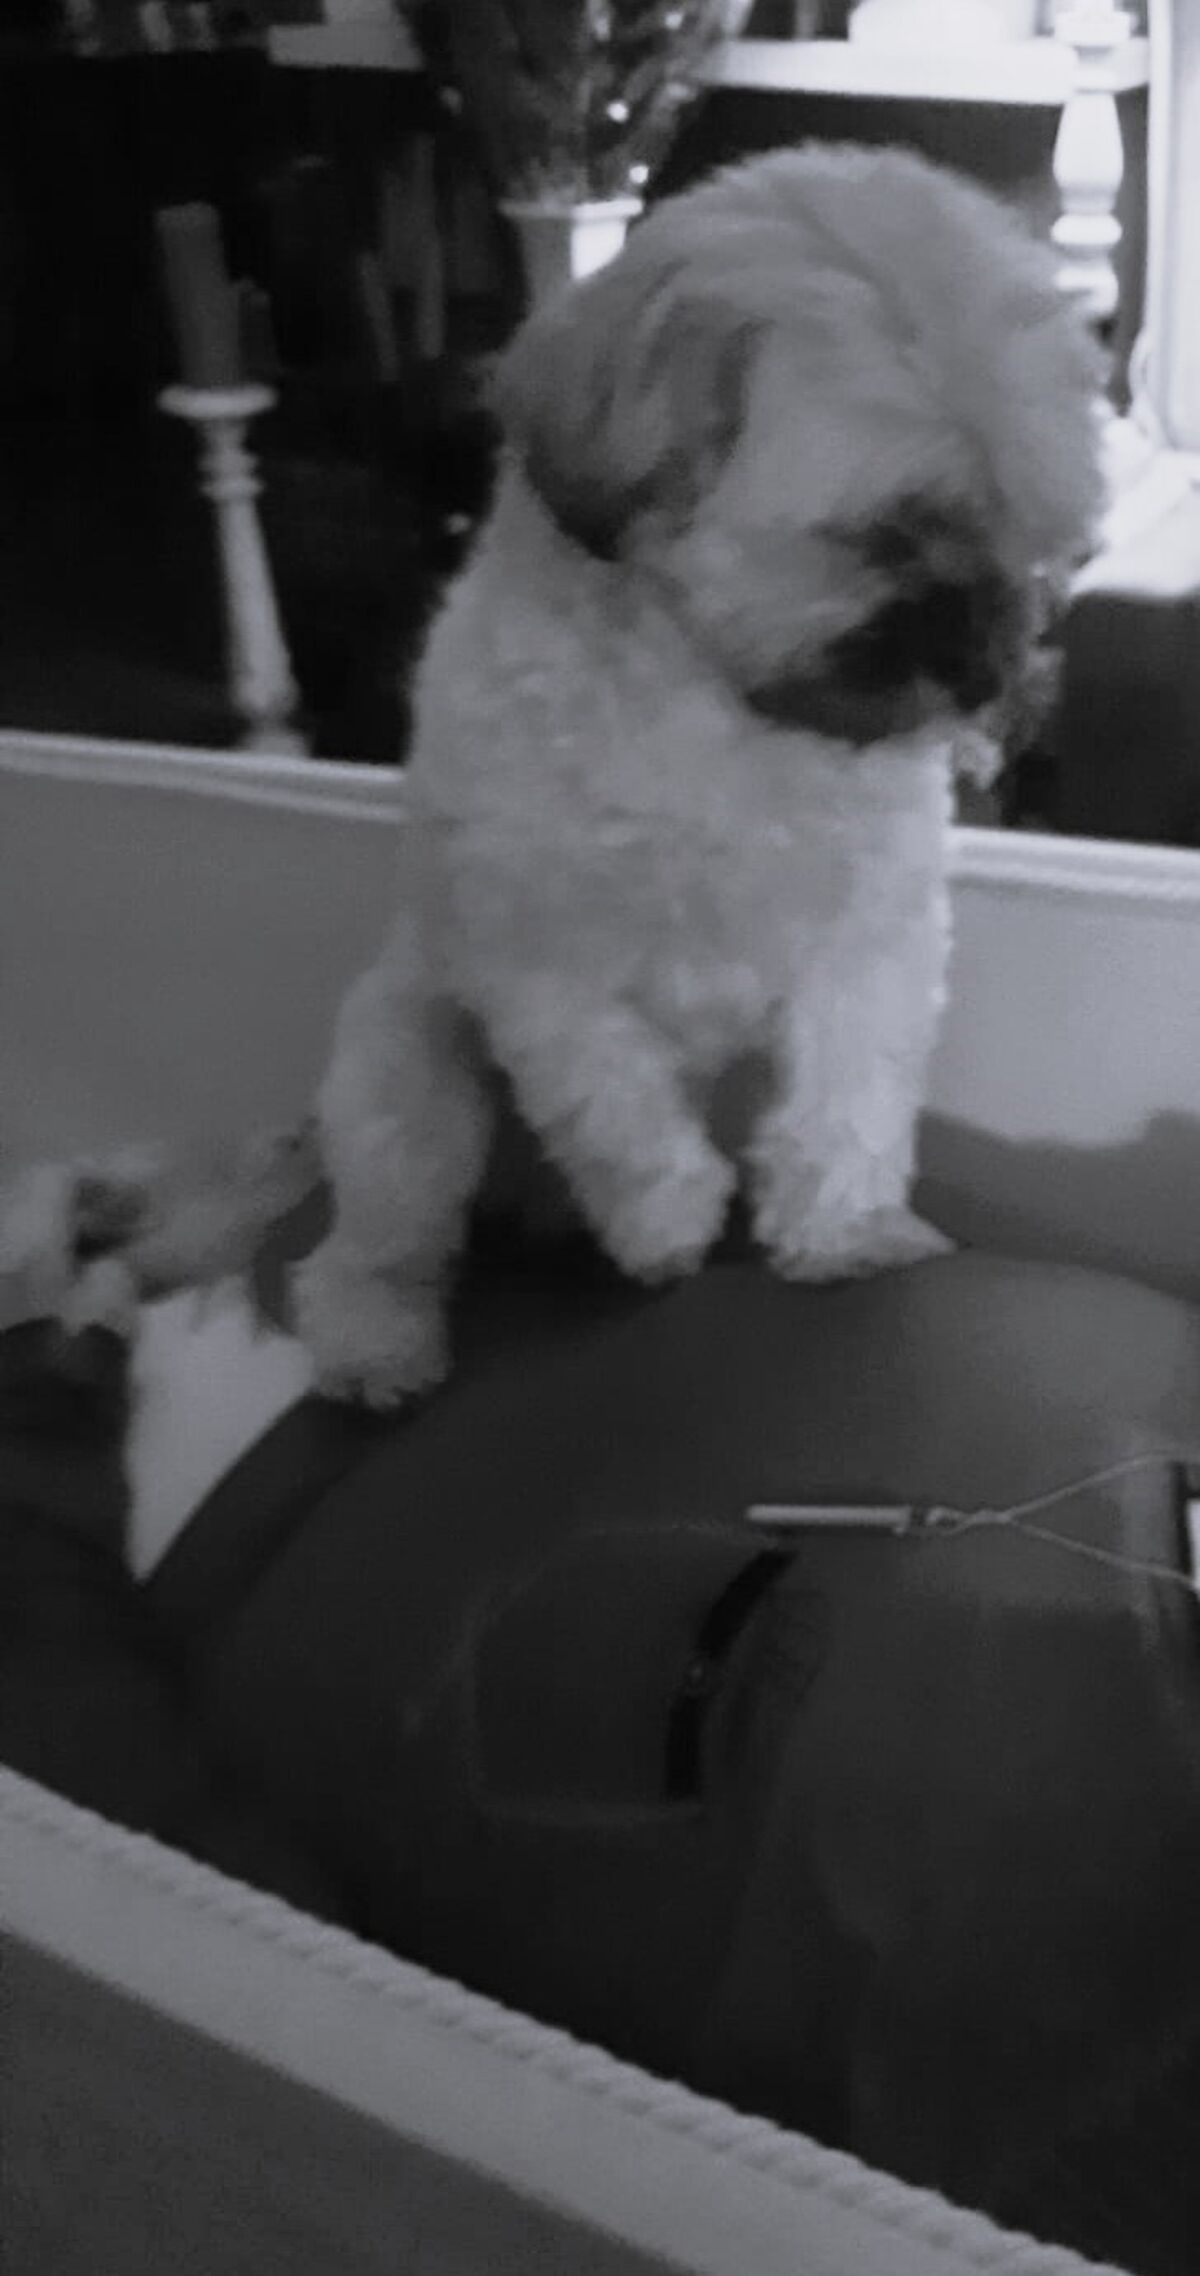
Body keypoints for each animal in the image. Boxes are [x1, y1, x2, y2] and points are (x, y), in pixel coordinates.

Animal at [1, 144, 1104, 1408]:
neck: (713, 708)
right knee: (371, 1251)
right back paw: (379, 1340)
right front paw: (666, 1218)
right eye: (887, 534)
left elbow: (847, 1099)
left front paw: (845, 1233)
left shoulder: (868, 944)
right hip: (407, 1084)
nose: (989, 666)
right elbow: (613, 1097)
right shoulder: (538, 960)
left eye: (1030, 543)